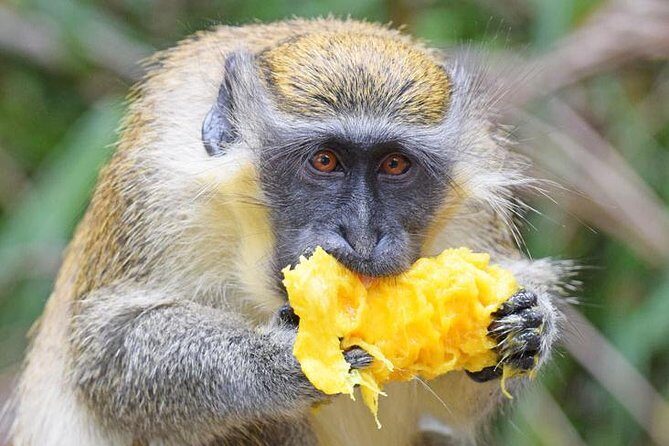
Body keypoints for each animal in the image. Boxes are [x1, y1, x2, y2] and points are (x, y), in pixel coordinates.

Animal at [6, 17, 573, 446]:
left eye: (395, 165)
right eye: (324, 161)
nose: (362, 234)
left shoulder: (473, 221)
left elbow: (445, 408)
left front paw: (529, 324)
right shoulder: (158, 188)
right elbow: (109, 351)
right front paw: (280, 362)